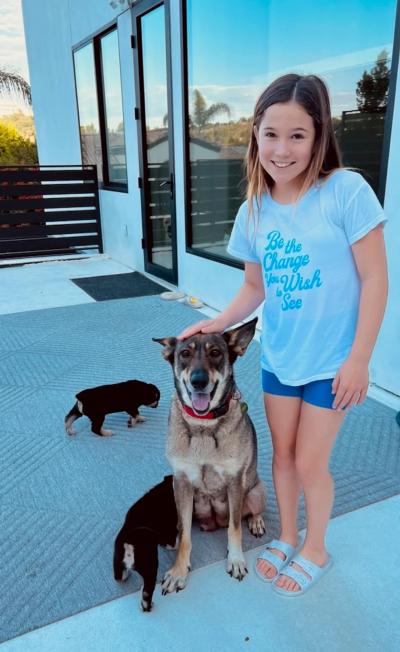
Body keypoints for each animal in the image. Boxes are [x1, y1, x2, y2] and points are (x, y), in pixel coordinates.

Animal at [115, 474, 179, 612]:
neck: (165, 488)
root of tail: (130, 546)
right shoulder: (169, 533)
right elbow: (173, 542)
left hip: (117, 560)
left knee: (119, 576)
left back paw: (125, 576)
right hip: (150, 570)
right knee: (146, 595)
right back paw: (148, 607)